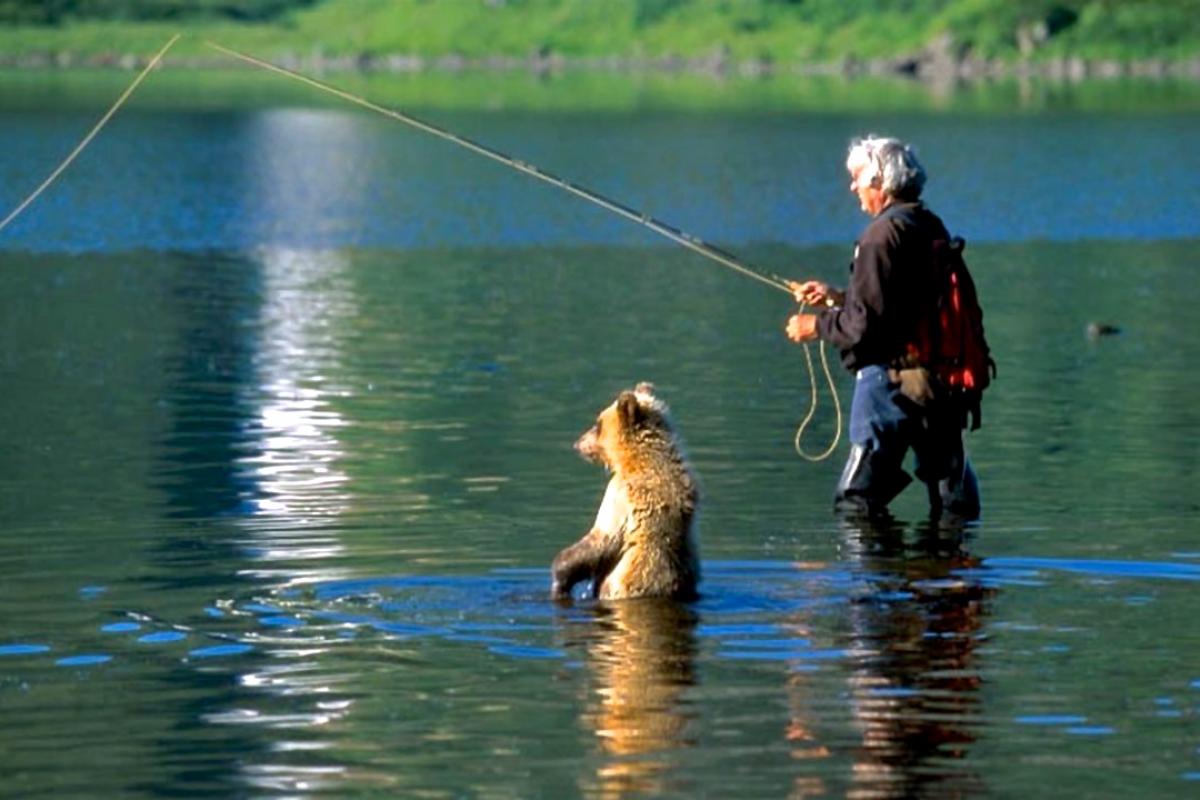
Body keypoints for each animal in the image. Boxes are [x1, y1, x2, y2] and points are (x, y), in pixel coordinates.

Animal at [549, 383, 700, 599]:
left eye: (598, 424)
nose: (578, 443)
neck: (637, 459)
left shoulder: (622, 495)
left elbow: (603, 538)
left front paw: (560, 576)